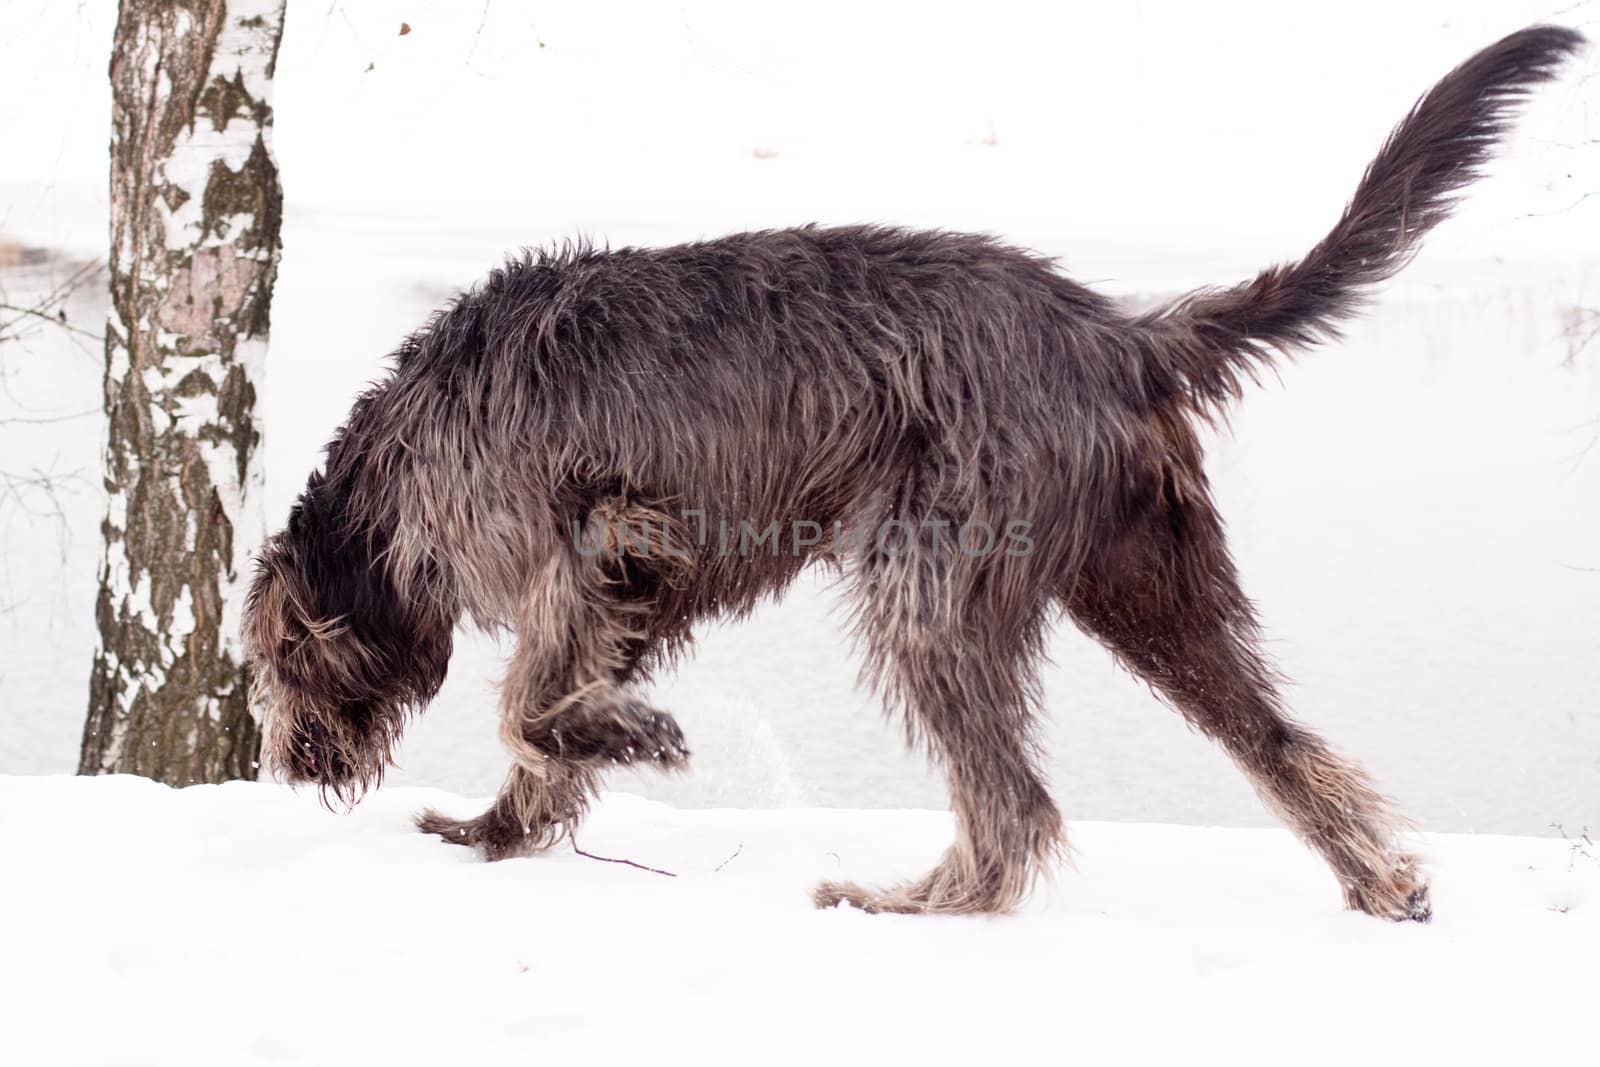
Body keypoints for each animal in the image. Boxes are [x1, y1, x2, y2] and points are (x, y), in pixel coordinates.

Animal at [249, 29, 1587, 921]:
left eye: (276, 659)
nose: (291, 768)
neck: (394, 476)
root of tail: (1116, 331)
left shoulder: (586, 550)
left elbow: (527, 706)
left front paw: (630, 743)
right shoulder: (623, 586)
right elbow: (540, 729)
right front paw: (500, 828)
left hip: (928, 584)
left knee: (1017, 801)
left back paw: (920, 902)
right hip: (1151, 584)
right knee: (1275, 739)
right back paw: (1381, 881)